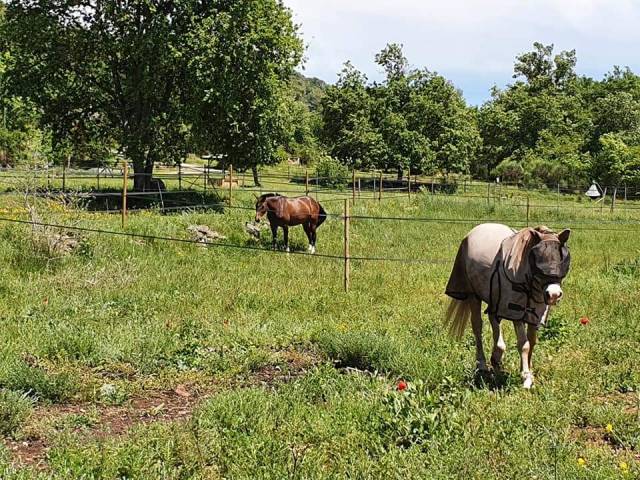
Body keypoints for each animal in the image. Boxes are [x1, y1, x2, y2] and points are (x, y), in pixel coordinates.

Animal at [442, 223, 572, 388]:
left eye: (562, 259)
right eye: (539, 260)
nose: (554, 294)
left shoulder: (534, 313)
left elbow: (532, 341)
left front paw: (528, 371)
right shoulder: (515, 312)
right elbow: (524, 344)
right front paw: (525, 378)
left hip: (494, 300)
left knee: (493, 320)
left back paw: (496, 359)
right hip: (473, 296)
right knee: (477, 327)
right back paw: (482, 364)